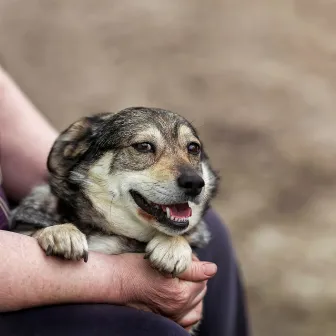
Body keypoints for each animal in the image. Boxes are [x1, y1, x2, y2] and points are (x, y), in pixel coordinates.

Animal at [9, 107, 218, 334]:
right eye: (143, 146)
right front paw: (60, 231)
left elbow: (179, 236)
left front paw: (173, 247)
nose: (195, 183)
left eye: (193, 148)